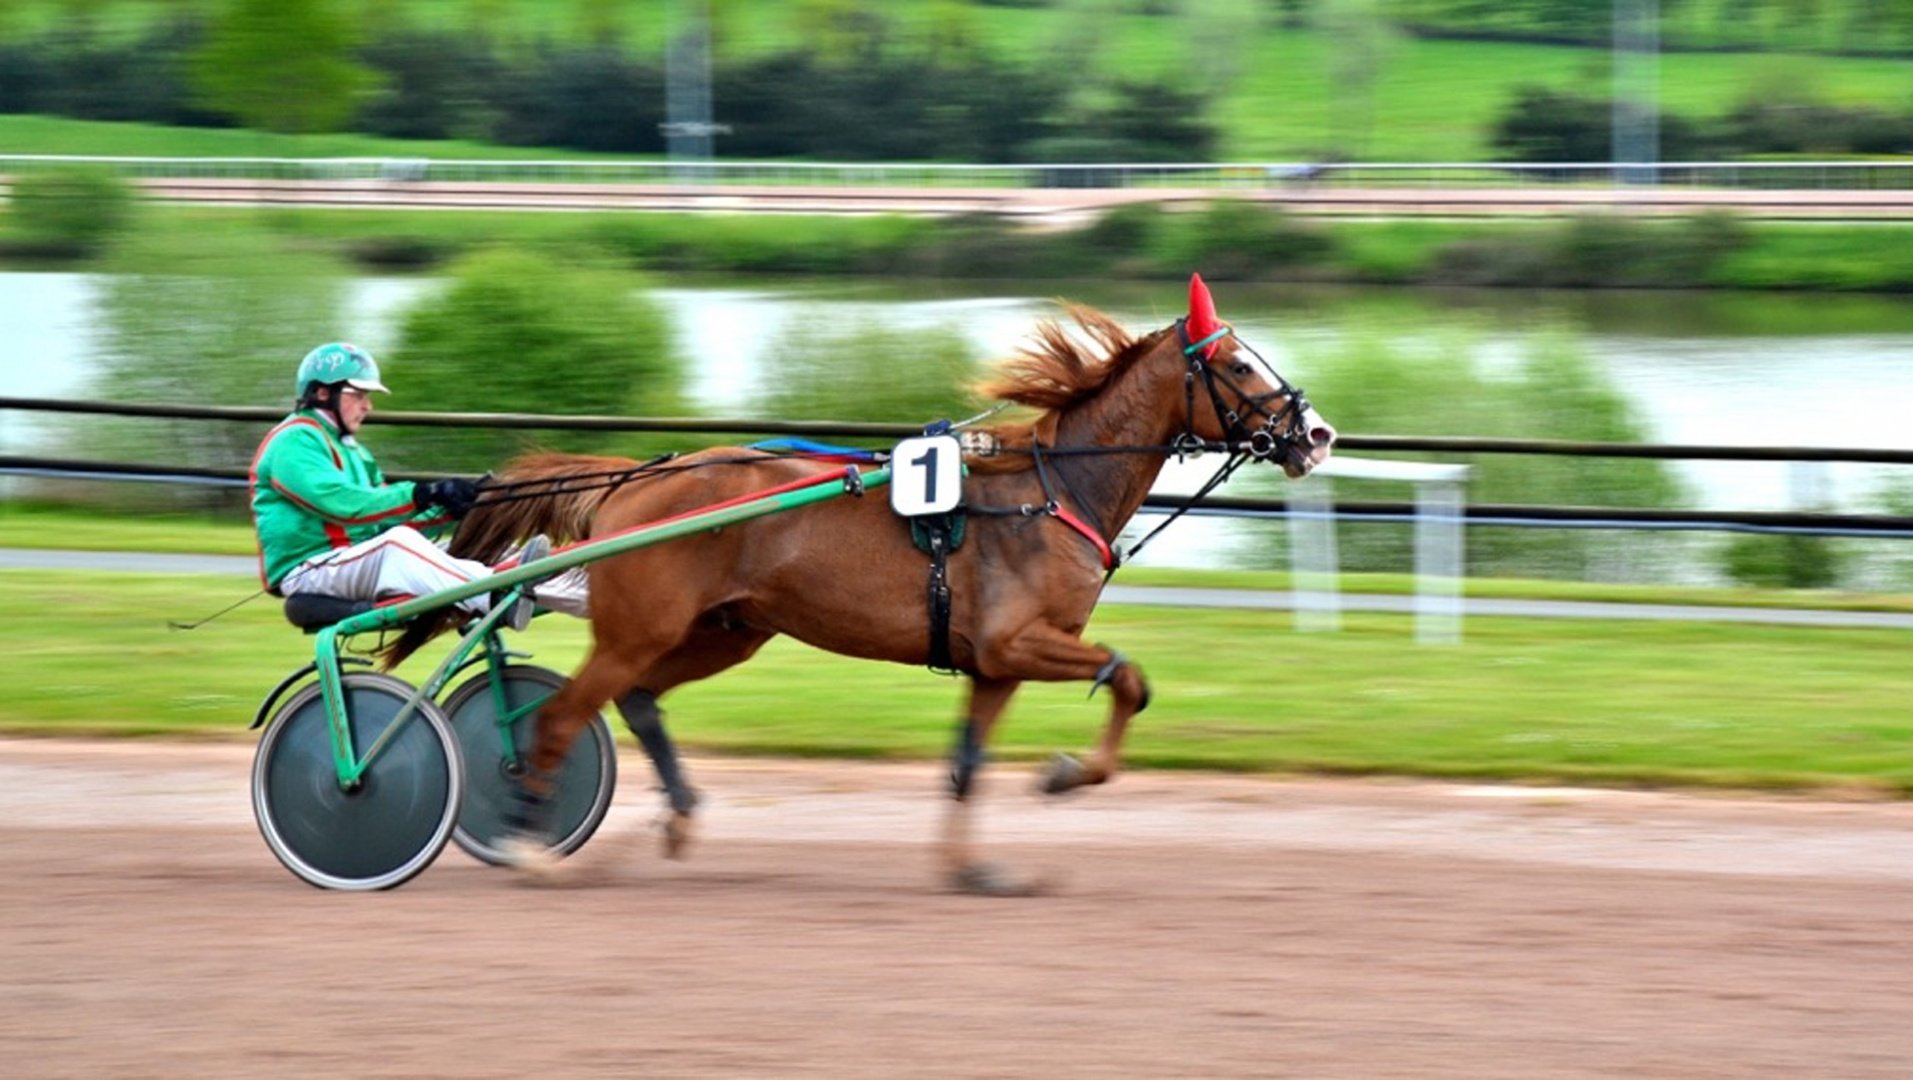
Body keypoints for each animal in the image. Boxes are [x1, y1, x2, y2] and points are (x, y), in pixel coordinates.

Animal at [389, 273, 1335, 894]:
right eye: (1239, 367)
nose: (1317, 433)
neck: (1053, 488)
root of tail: (639, 477)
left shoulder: (996, 661)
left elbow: (967, 762)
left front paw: (976, 867)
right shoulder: (1020, 641)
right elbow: (1128, 676)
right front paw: (1066, 774)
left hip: (726, 631)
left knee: (638, 700)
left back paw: (676, 815)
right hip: (641, 628)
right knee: (559, 716)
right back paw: (528, 843)